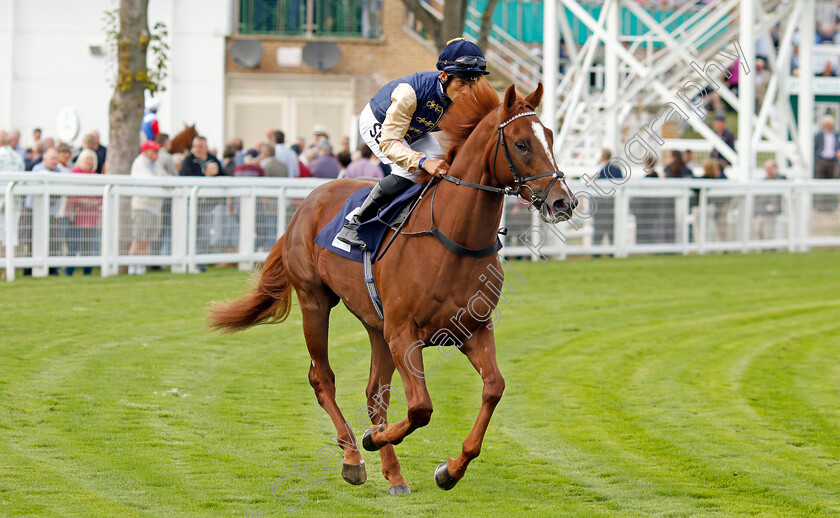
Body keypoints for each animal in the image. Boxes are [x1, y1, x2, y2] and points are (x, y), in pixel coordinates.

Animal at [210, 81, 576, 496]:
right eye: (521, 143)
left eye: (550, 136)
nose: (564, 201)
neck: (452, 239)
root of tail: (306, 203)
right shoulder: (404, 333)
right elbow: (420, 407)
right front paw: (373, 440)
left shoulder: (474, 328)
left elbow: (493, 388)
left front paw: (451, 469)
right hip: (315, 301)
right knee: (323, 379)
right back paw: (354, 457)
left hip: (375, 324)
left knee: (375, 393)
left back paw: (394, 474)